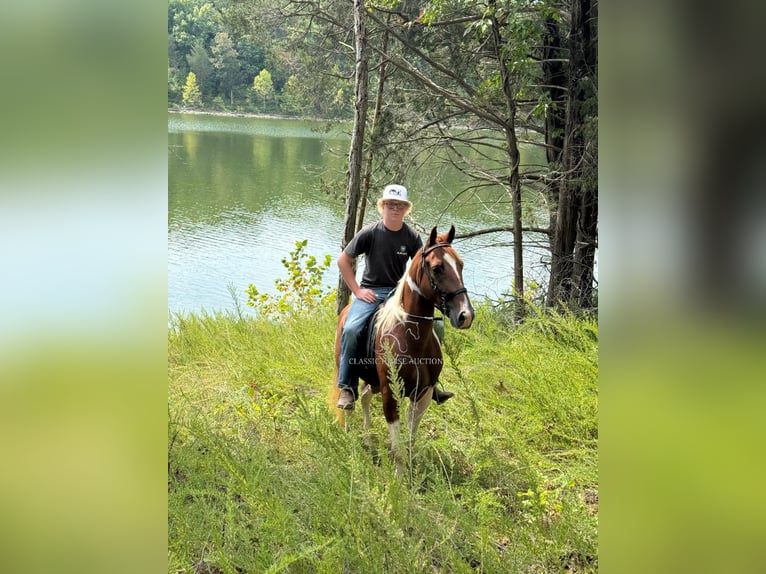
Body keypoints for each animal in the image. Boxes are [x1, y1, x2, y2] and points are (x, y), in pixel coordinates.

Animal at [332, 225, 476, 472]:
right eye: (437, 268)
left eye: (461, 265)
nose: (465, 315)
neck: (411, 337)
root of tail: (346, 310)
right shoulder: (391, 395)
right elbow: (398, 448)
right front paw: (399, 479)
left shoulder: (423, 394)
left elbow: (409, 441)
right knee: (350, 400)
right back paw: (349, 434)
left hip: (374, 383)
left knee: (365, 397)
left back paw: (368, 437)